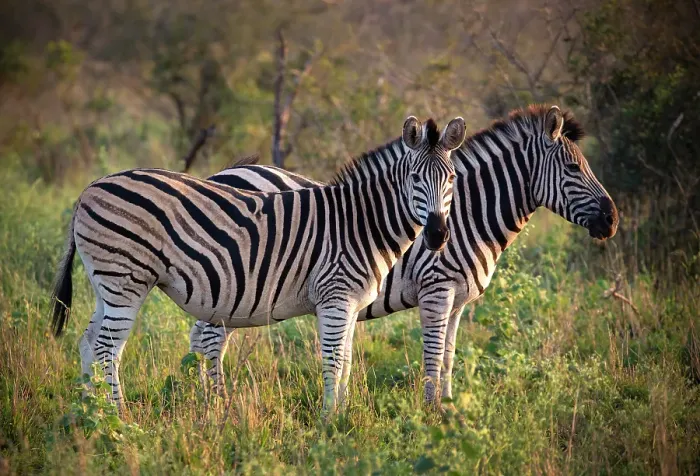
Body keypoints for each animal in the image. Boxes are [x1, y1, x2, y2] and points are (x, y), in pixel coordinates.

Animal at [49, 116, 467, 412]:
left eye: (452, 178)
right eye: (414, 178)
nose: (438, 236)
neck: (362, 222)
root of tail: (89, 188)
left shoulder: (350, 304)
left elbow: (347, 361)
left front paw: (344, 415)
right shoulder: (335, 298)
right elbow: (334, 361)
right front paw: (330, 422)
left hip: (105, 284)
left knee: (88, 343)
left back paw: (91, 414)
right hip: (126, 280)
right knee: (107, 349)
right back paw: (119, 418)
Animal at [190, 105, 619, 405]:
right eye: (572, 168)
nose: (612, 221)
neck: (466, 214)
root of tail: (219, 174)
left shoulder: (458, 300)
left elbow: (448, 357)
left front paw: (448, 408)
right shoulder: (436, 290)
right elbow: (432, 356)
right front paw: (431, 413)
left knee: (201, 340)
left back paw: (200, 401)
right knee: (211, 343)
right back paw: (218, 405)